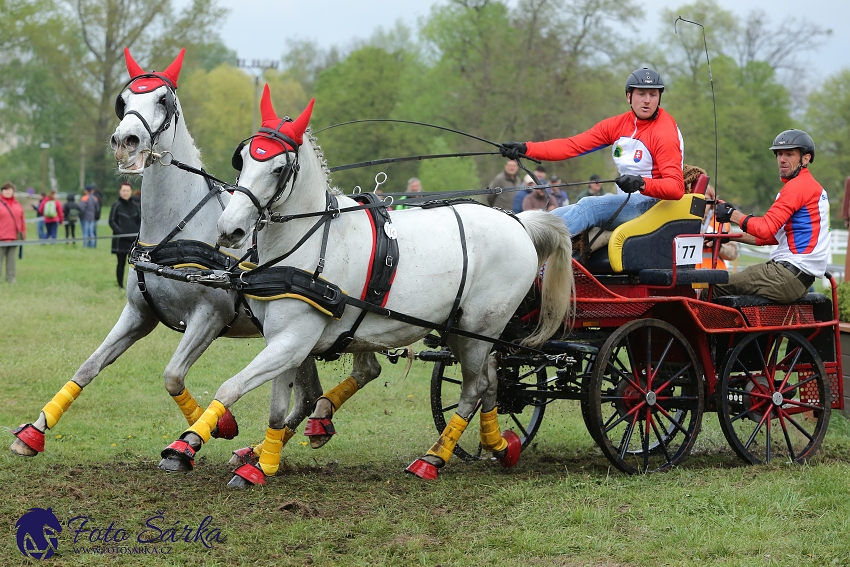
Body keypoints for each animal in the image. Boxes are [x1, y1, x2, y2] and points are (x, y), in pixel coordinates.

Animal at [9, 51, 322, 478]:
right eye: (124, 100)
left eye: (163, 100)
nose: (126, 141)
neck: (172, 232)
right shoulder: (138, 313)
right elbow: (88, 367)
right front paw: (35, 430)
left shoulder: (208, 317)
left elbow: (172, 376)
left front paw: (206, 432)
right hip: (298, 338)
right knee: (308, 396)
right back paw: (260, 451)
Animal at [156, 86, 572, 486]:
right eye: (242, 159)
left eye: (278, 167)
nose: (230, 230)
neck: (308, 242)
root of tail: (518, 221)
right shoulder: (284, 340)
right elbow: (277, 408)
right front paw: (261, 465)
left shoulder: (292, 340)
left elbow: (230, 388)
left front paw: (190, 446)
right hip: (460, 330)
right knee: (492, 384)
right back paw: (500, 446)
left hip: (479, 330)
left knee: (475, 389)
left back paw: (434, 459)